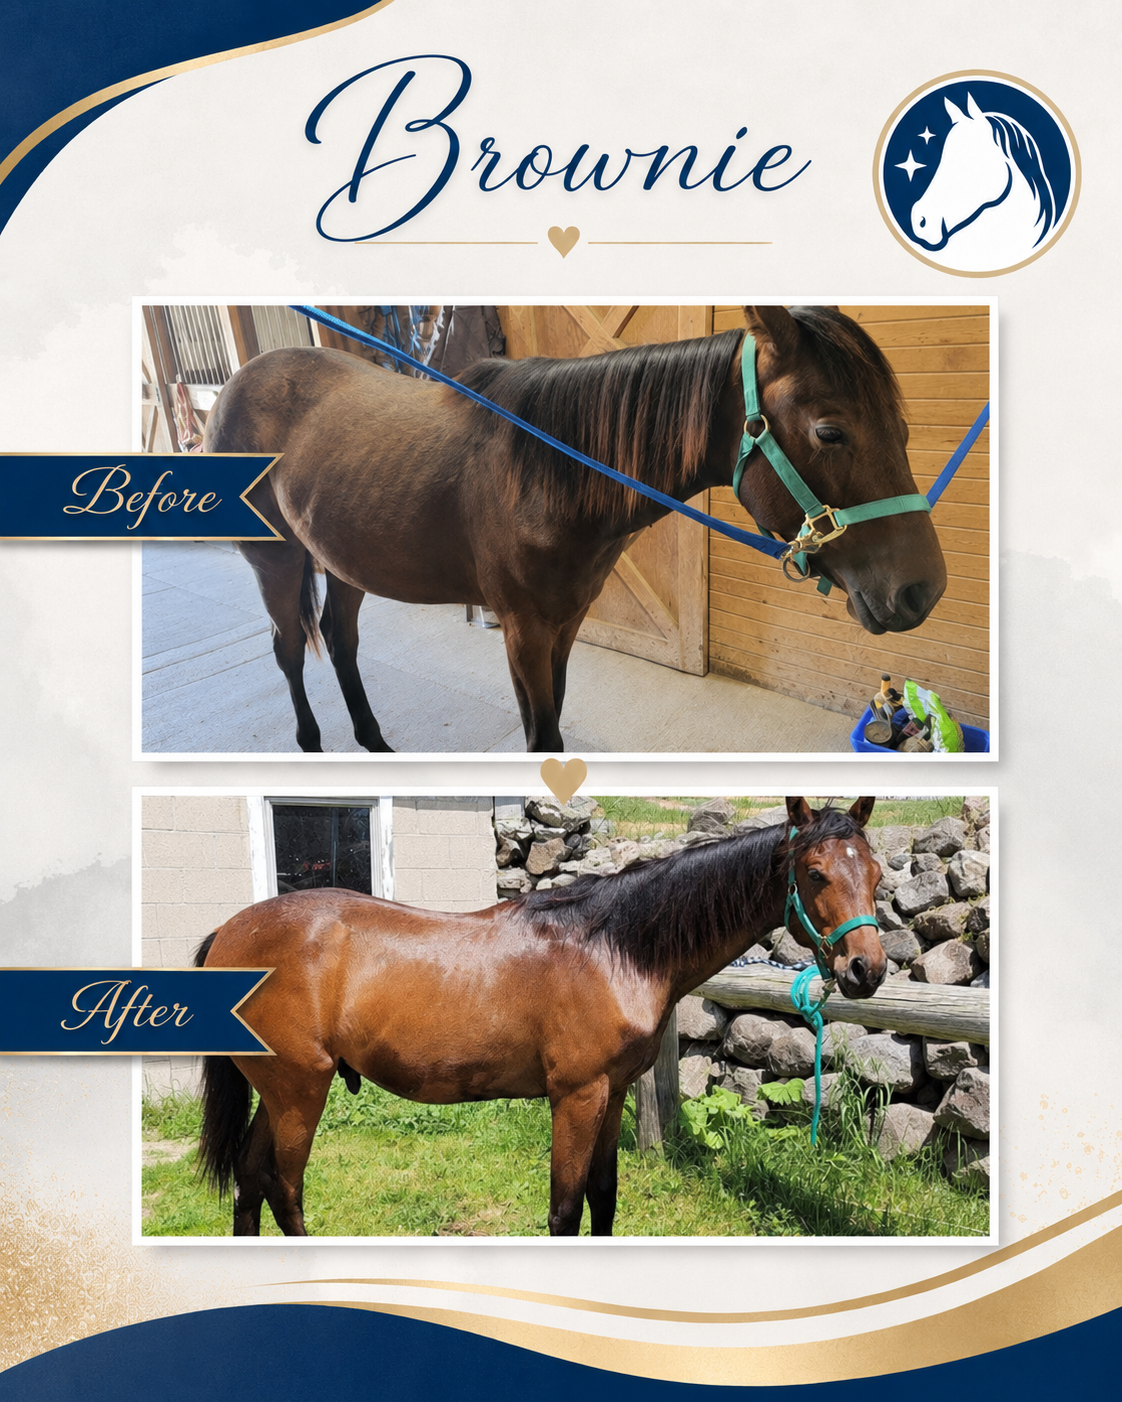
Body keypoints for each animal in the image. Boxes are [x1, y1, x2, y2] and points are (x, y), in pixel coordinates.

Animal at [194, 797, 886, 1237]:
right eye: (815, 872)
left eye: (876, 873)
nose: (867, 969)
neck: (613, 947)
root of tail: (229, 932)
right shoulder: (575, 1097)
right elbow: (565, 1210)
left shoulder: (612, 1094)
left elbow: (603, 1200)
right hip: (299, 1093)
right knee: (283, 1190)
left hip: (279, 1093)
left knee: (250, 1182)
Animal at [203, 306, 945, 752]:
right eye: (830, 431)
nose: (922, 590)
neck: (545, 472)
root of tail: (242, 378)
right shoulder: (524, 630)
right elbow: (544, 737)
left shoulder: (565, 624)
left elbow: (553, 716)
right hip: (277, 562)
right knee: (291, 651)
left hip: (343, 559)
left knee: (340, 642)